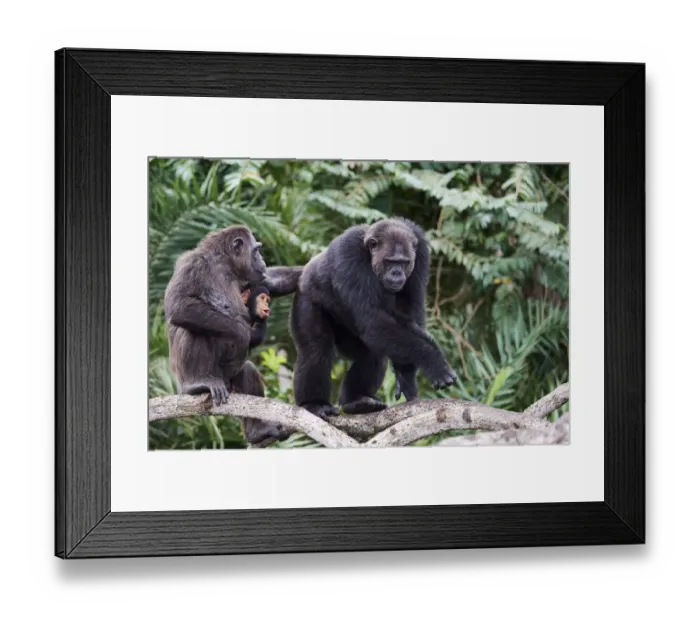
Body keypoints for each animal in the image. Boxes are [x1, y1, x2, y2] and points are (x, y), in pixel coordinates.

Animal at [163, 224, 302, 447]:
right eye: (256, 250)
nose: (262, 259)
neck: (224, 265)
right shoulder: (191, 265)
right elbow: (179, 303)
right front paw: (242, 333)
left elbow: (271, 280)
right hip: (187, 378)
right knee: (194, 328)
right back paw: (197, 384)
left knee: (248, 371)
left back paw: (258, 431)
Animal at [290, 217, 457, 420]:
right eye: (390, 261)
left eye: (404, 262)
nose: (397, 272)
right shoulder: (348, 253)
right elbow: (373, 322)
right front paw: (434, 360)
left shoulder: (422, 254)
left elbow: (409, 313)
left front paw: (405, 375)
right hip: (306, 296)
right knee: (315, 349)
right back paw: (314, 404)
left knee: (372, 352)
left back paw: (356, 400)